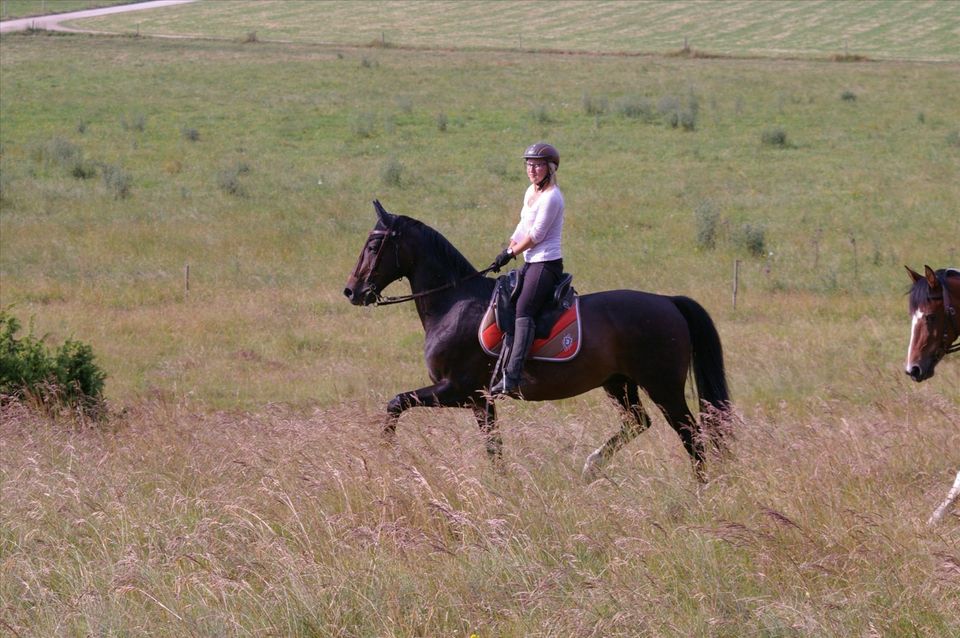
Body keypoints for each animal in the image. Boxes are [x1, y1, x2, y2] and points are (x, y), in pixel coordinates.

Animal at [344, 202, 728, 482]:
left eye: (374, 245)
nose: (352, 291)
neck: (453, 302)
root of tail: (668, 301)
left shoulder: (457, 389)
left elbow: (396, 403)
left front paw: (386, 455)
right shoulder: (480, 401)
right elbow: (494, 448)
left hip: (663, 386)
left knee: (691, 435)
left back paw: (699, 490)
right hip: (619, 383)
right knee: (638, 422)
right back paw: (592, 465)